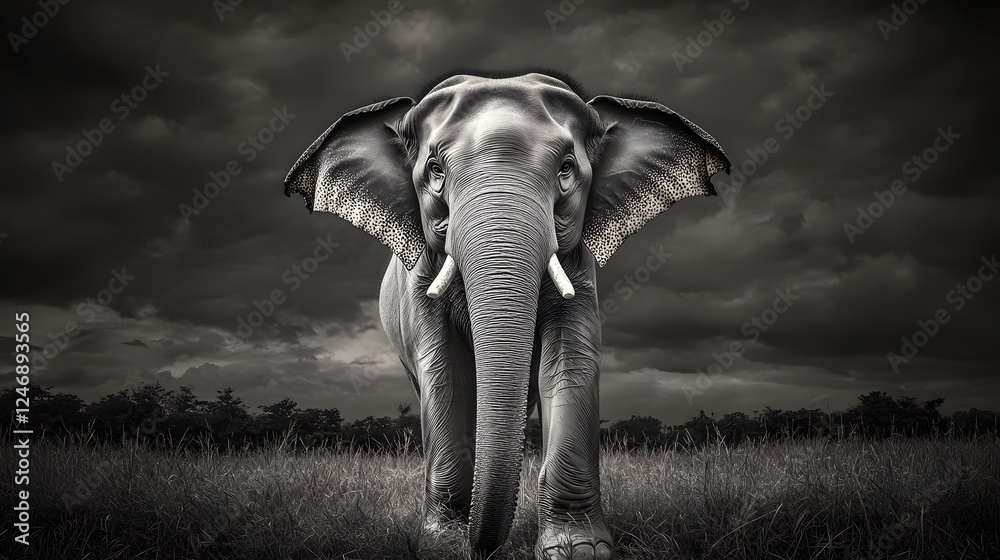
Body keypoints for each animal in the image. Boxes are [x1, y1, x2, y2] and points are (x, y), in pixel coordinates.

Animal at [283, 69, 730, 559]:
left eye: (566, 169)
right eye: (435, 171)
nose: (482, 551)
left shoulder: (579, 267)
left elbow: (570, 363)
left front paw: (578, 550)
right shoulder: (421, 280)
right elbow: (446, 373)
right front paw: (441, 546)